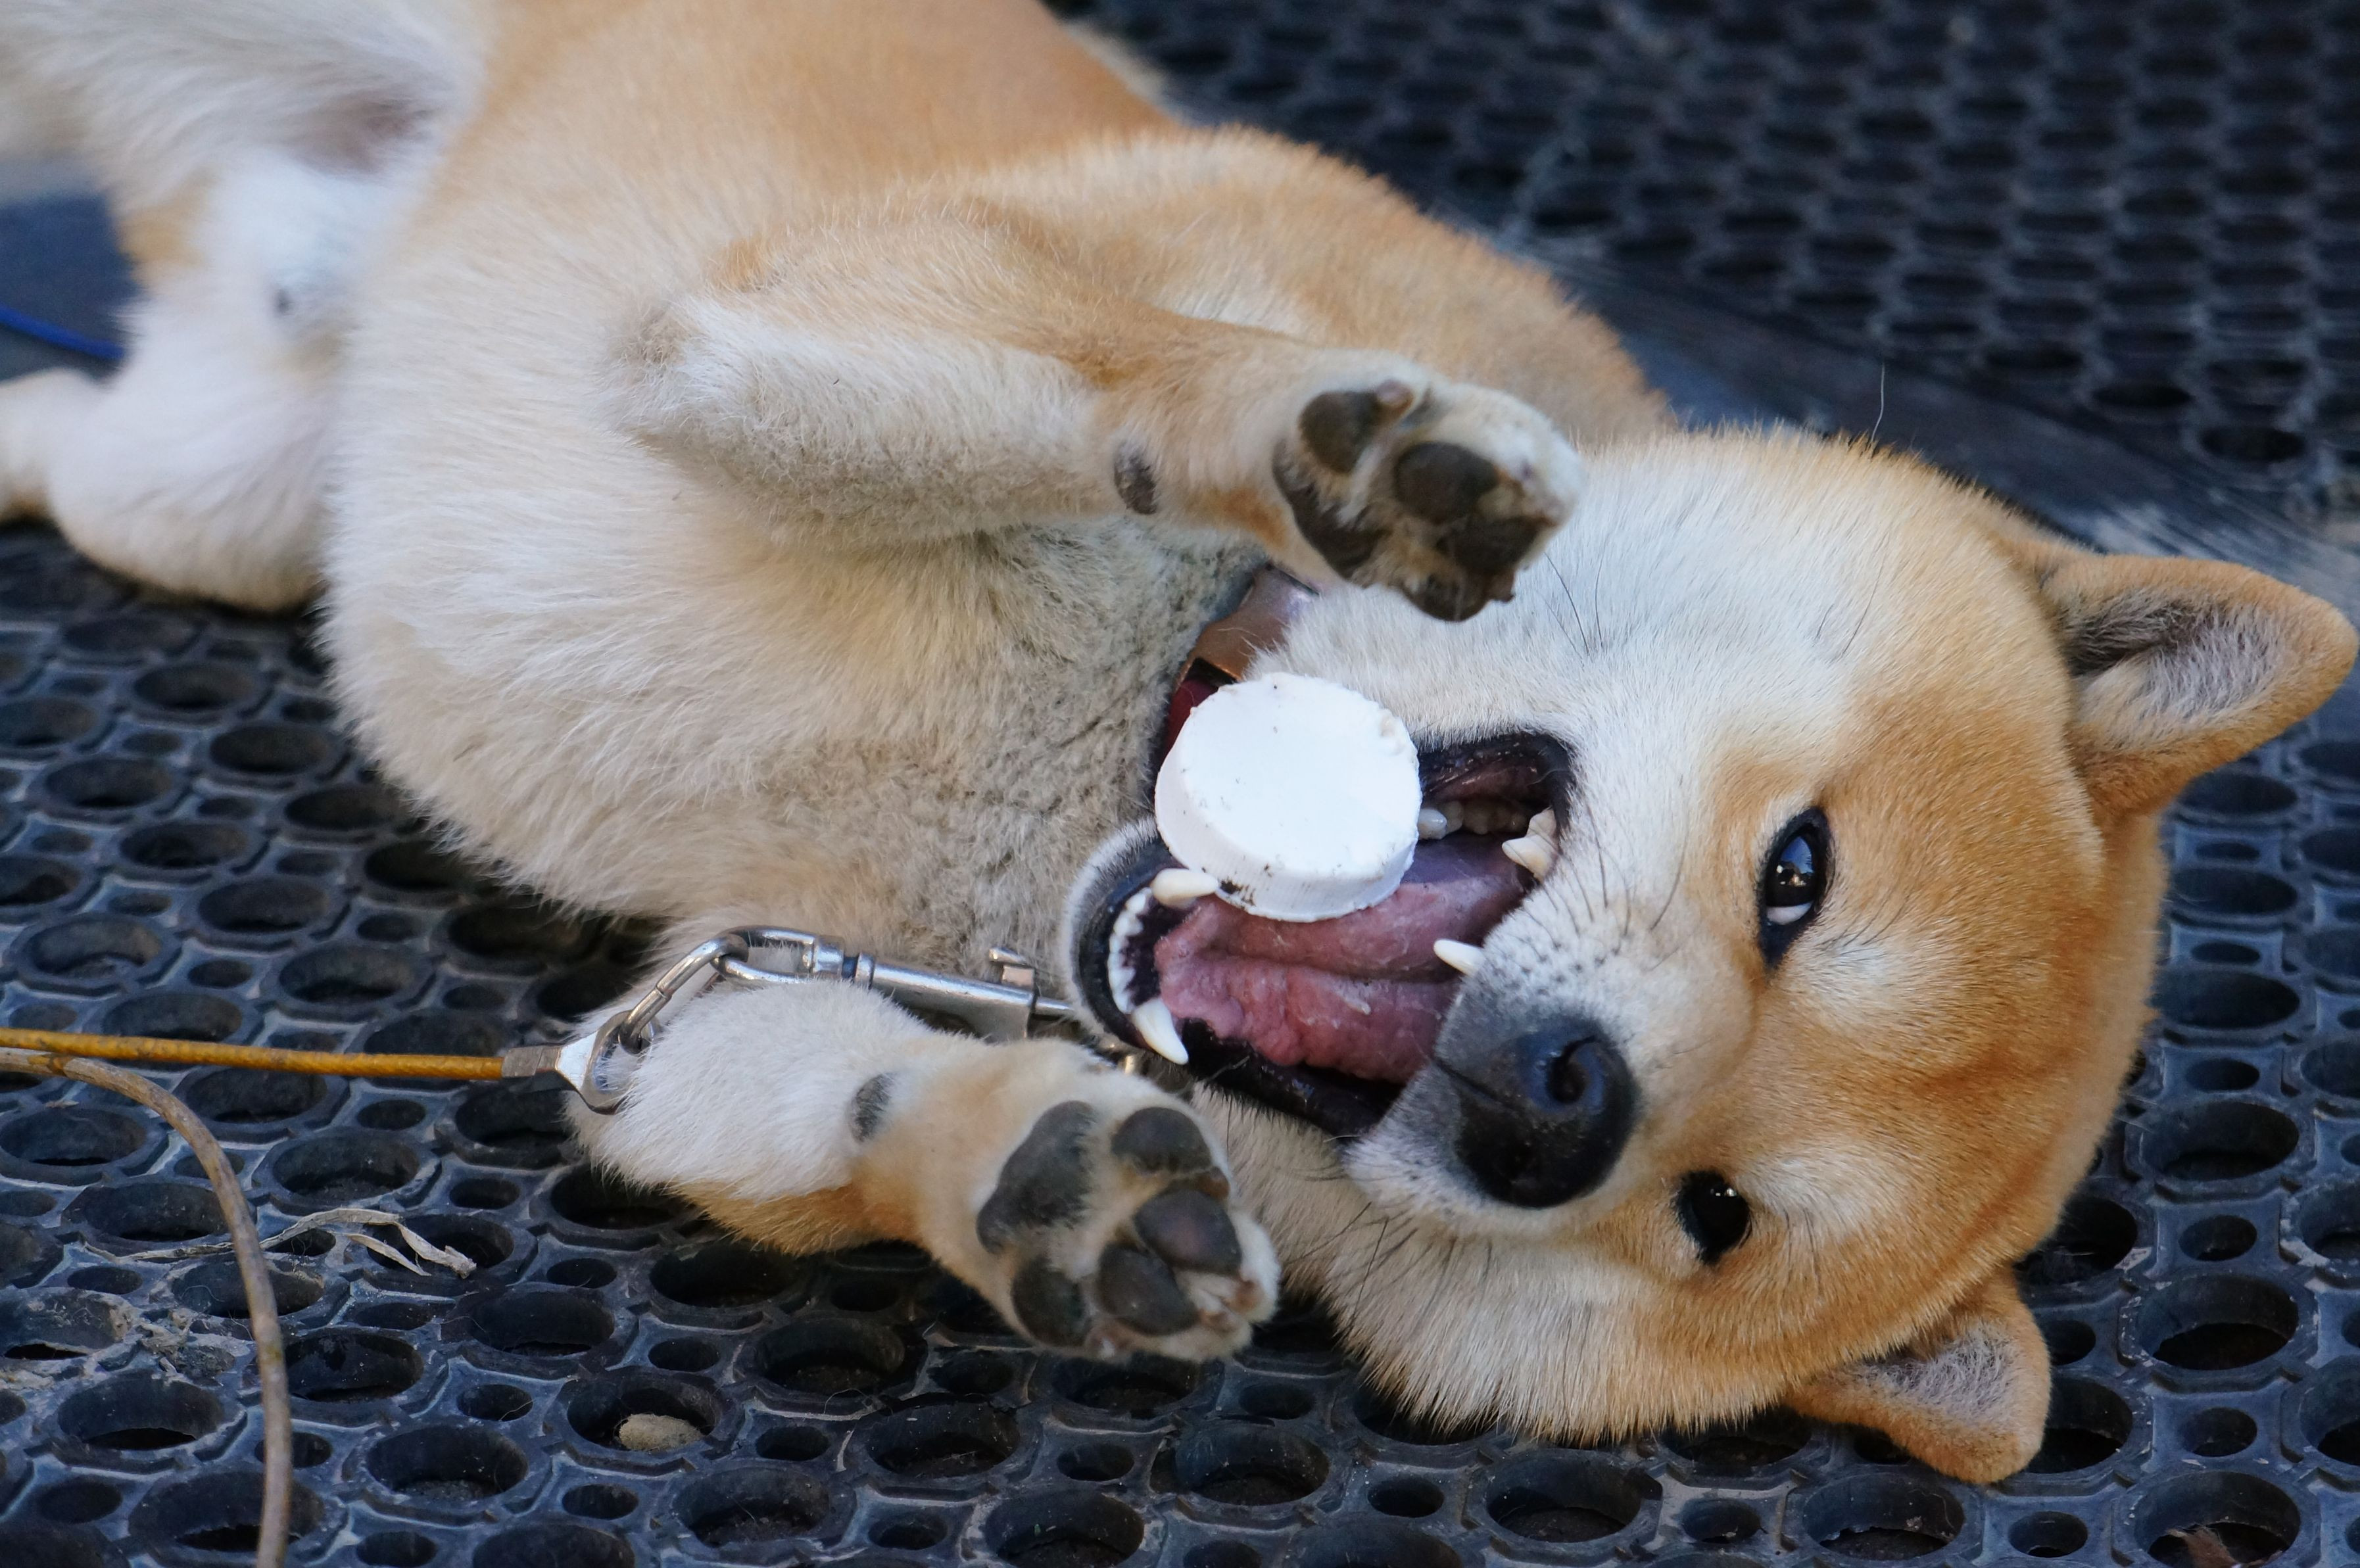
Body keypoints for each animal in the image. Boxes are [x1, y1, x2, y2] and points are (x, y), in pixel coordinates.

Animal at [2, 0, 2351, 1482]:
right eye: (1799, 875)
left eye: (1709, 1220)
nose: (1559, 1109)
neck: (1115, 750)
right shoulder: (806, 318)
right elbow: (1138, 368)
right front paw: (1352, 454)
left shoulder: (707, 996)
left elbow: (837, 1113)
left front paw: (1036, 1186)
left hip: (213, 491)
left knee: (79, 446)